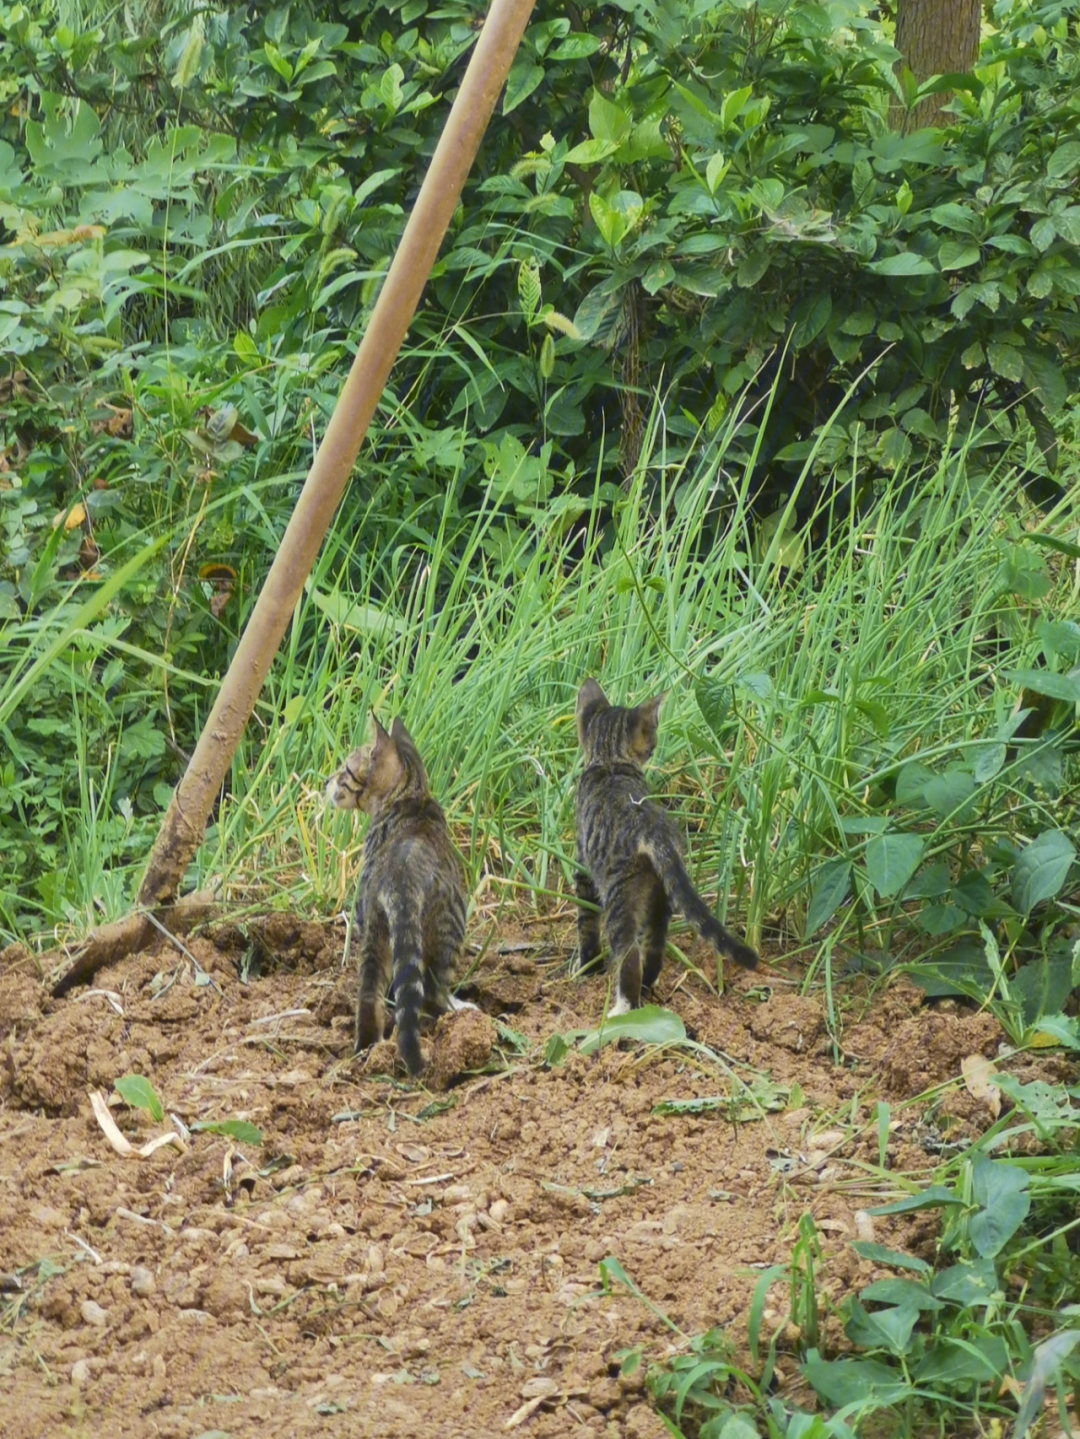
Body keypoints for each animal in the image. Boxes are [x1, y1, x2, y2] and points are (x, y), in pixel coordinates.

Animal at [323, 713, 471, 1076]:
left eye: (345, 770)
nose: (327, 780)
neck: (411, 793)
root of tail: (399, 878)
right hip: (450, 928)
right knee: (432, 993)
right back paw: (456, 1012)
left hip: (373, 930)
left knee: (368, 996)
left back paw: (367, 1048)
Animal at [575, 679, 759, 1018]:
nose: (653, 747)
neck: (610, 760)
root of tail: (653, 830)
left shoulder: (583, 864)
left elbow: (586, 924)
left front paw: (587, 968)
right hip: (662, 894)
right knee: (654, 948)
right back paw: (647, 990)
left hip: (621, 897)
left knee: (629, 957)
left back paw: (622, 1008)